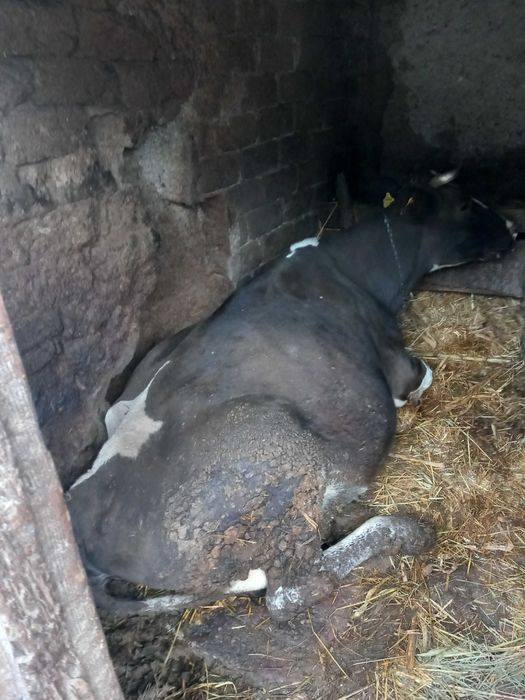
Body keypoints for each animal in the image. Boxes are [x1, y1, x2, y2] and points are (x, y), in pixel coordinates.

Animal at [67, 171, 515, 620]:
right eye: (463, 203)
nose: (513, 227)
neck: (356, 270)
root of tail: (84, 532)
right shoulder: (403, 370)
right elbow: (421, 377)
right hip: (278, 454)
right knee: (293, 590)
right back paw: (404, 531)